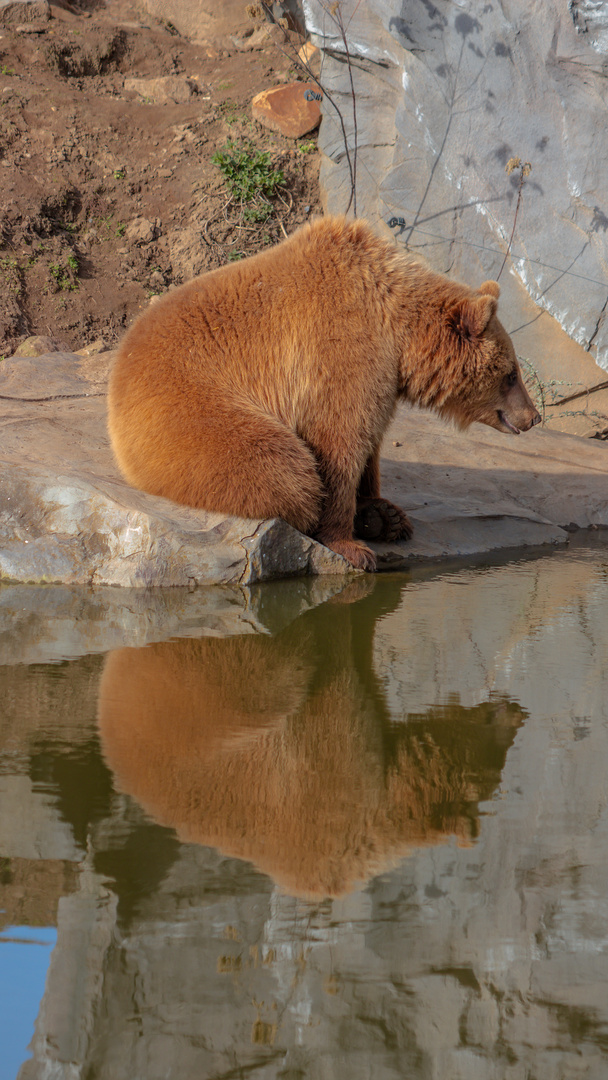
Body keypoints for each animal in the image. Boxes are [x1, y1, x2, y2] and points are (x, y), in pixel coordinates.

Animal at [106, 218, 539, 574]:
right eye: (512, 374)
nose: (534, 416)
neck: (397, 331)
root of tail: (119, 371)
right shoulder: (340, 349)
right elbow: (339, 442)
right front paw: (351, 543)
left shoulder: (380, 377)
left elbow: (370, 444)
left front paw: (381, 510)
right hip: (189, 408)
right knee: (281, 467)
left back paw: (383, 518)